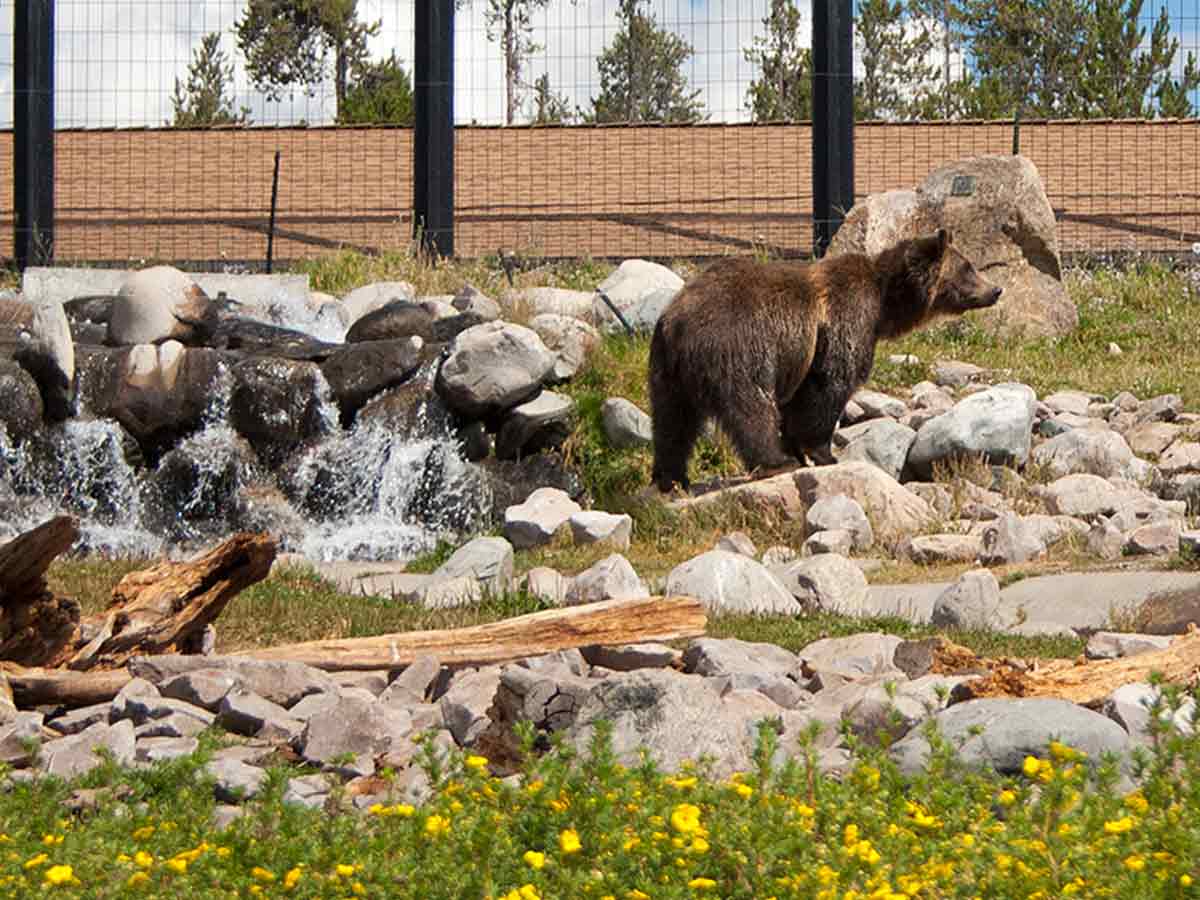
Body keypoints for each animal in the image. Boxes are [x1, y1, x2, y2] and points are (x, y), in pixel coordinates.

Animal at [648, 229, 1001, 493]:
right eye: (968, 267)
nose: (996, 290)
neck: (885, 304)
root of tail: (677, 323)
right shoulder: (843, 321)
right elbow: (829, 386)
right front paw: (822, 454)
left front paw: (800, 450)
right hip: (736, 348)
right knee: (750, 406)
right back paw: (775, 461)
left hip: (667, 370)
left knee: (671, 422)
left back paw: (671, 478)